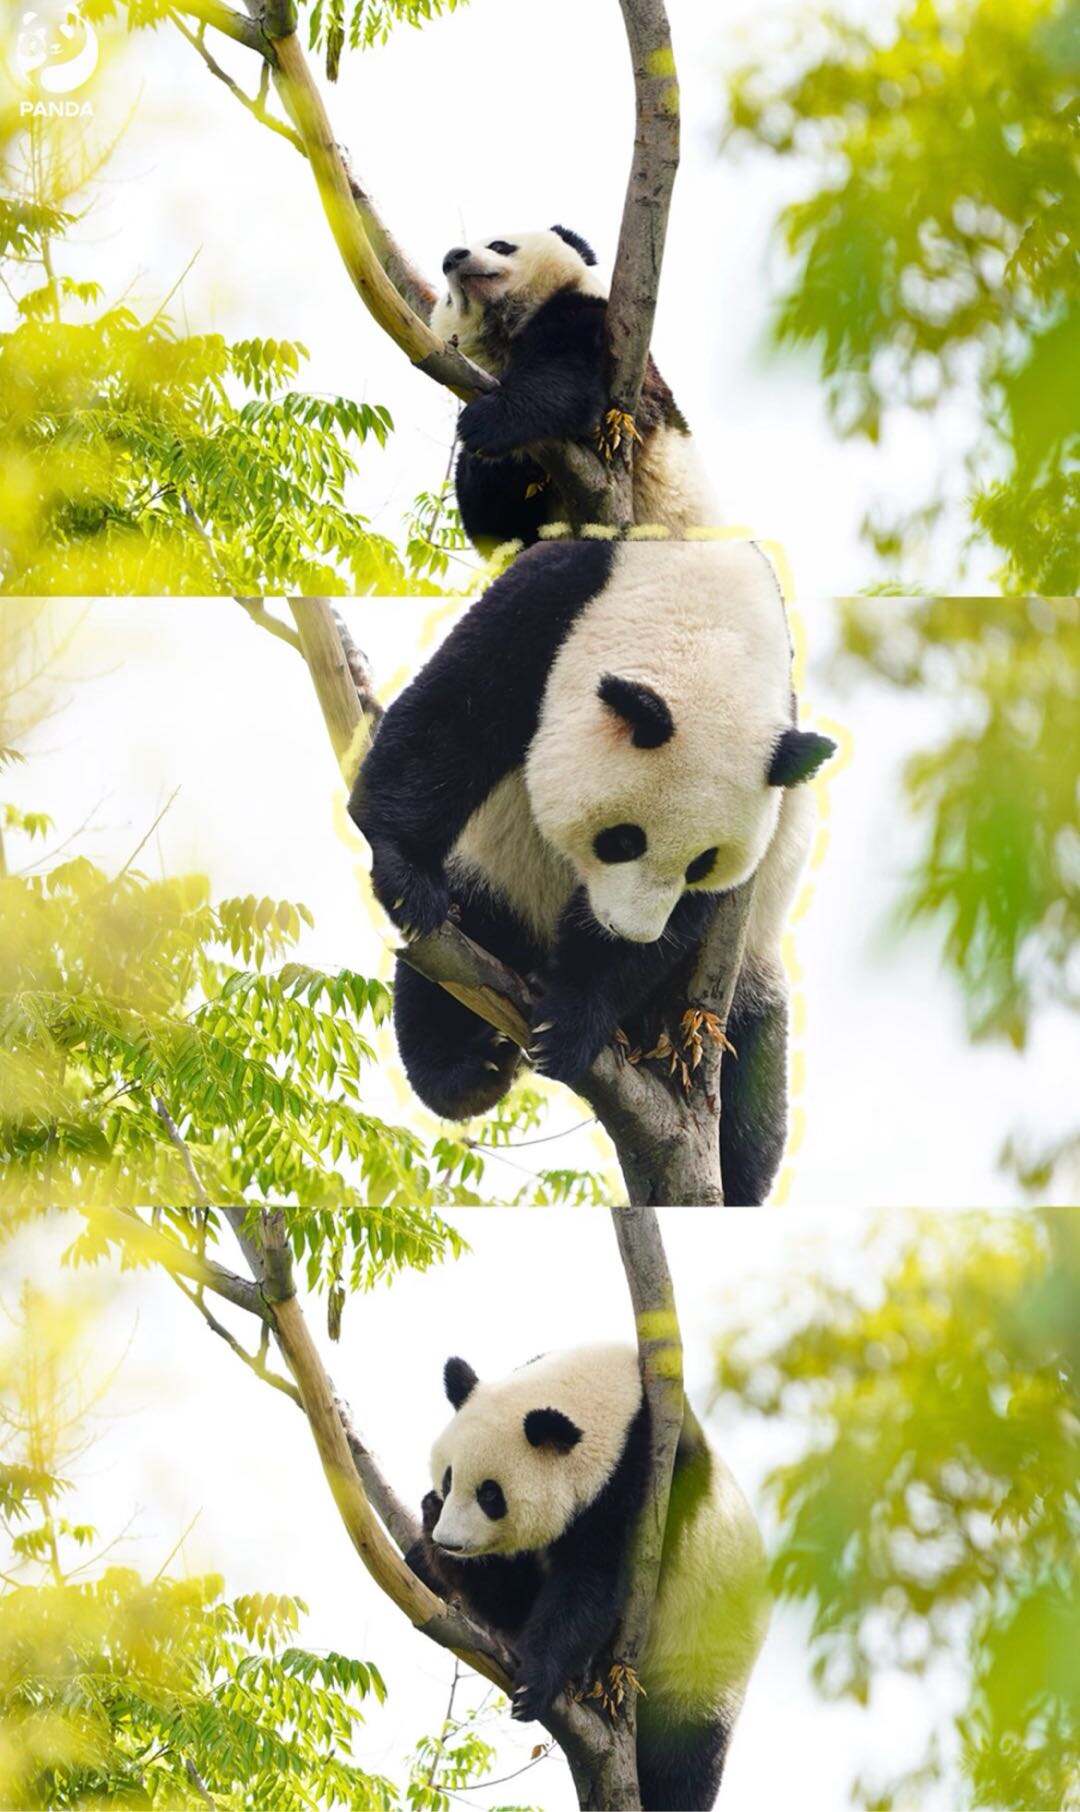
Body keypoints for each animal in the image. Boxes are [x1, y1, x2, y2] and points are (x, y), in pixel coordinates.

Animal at [349, 535, 834, 1206]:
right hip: (493, 889)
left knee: (751, 1087)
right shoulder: (556, 600)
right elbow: (455, 715)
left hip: (747, 976)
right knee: (449, 971)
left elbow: (696, 914)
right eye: (623, 840)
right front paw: (404, 872)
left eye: (702, 863)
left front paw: (575, 1015)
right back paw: (470, 1067)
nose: (628, 930)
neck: (707, 622)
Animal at [406, 1344, 769, 1812]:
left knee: (684, 1757)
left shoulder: (647, 1494)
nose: (449, 1541)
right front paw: (428, 1543)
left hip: (704, 1662)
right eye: (449, 1478)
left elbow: (589, 1589)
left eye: (490, 1495)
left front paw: (536, 1683)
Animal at [432, 226, 718, 551]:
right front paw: (486, 459)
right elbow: (498, 524)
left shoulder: (596, 324)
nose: (453, 257)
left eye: (500, 246)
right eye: (448, 297)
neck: (505, 333)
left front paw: (487, 420)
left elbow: (564, 376)